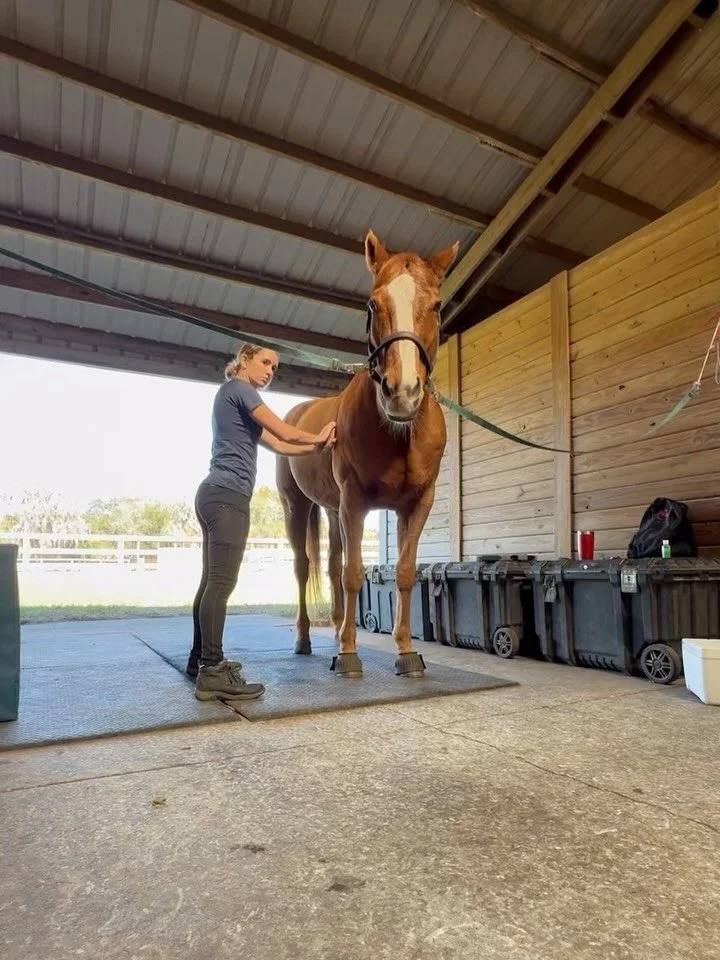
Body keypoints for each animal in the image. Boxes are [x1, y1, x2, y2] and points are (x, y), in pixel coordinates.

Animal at [276, 230, 458, 678]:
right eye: (373, 304)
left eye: (437, 305)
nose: (402, 393)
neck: (399, 434)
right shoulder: (355, 502)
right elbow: (354, 573)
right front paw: (347, 654)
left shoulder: (416, 504)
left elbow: (405, 573)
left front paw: (406, 650)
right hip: (298, 507)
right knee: (304, 567)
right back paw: (306, 640)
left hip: (331, 509)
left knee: (330, 564)